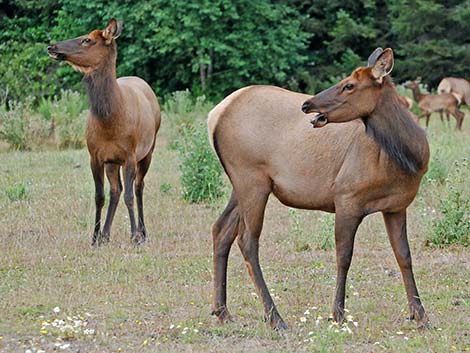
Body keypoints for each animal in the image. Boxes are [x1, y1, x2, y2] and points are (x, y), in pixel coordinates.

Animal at [47, 19, 161, 245]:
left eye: (87, 40)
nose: (52, 46)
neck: (110, 121)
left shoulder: (130, 155)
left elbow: (129, 196)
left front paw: (134, 235)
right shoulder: (96, 156)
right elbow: (99, 196)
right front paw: (94, 237)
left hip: (148, 151)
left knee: (138, 187)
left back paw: (143, 232)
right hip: (112, 162)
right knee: (116, 190)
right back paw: (106, 234)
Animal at [208, 47, 430, 330]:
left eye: (349, 85)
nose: (307, 104)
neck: (409, 158)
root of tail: (214, 115)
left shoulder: (396, 206)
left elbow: (404, 256)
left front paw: (421, 314)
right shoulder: (346, 198)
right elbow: (344, 257)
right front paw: (337, 314)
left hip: (243, 184)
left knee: (221, 229)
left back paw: (222, 311)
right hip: (251, 179)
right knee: (247, 240)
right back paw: (275, 317)